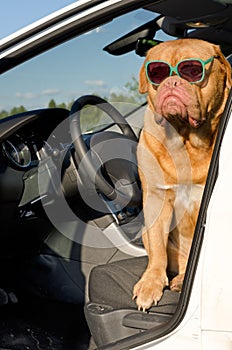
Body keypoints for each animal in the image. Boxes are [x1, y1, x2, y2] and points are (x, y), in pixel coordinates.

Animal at [133, 39, 231, 312]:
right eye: (156, 71)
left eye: (192, 69)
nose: (171, 82)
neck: (187, 139)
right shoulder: (156, 198)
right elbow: (158, 247)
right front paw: (151, 283)